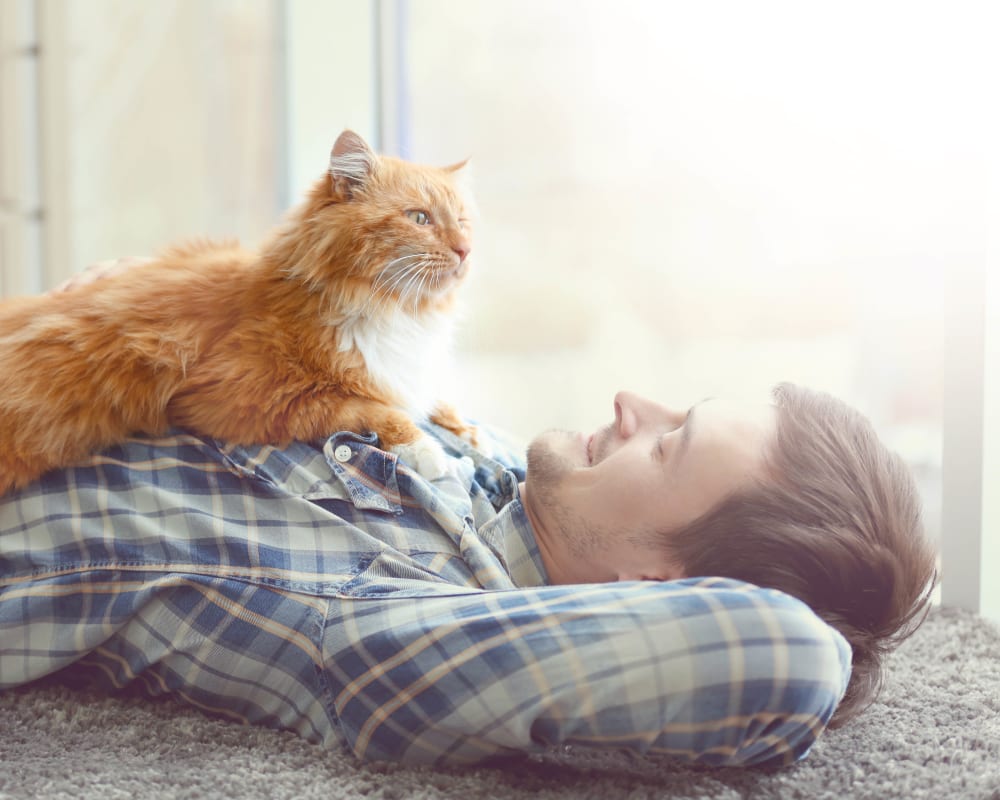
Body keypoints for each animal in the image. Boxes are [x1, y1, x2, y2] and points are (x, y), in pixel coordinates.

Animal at [0, 130, 474, 494]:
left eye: (463, 221)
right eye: (420, 218)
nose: (465, 249)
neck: (396, 311)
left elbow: (426, 395)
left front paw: (466, 431)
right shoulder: (246, 398)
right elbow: (375, 409)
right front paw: (431, 452)